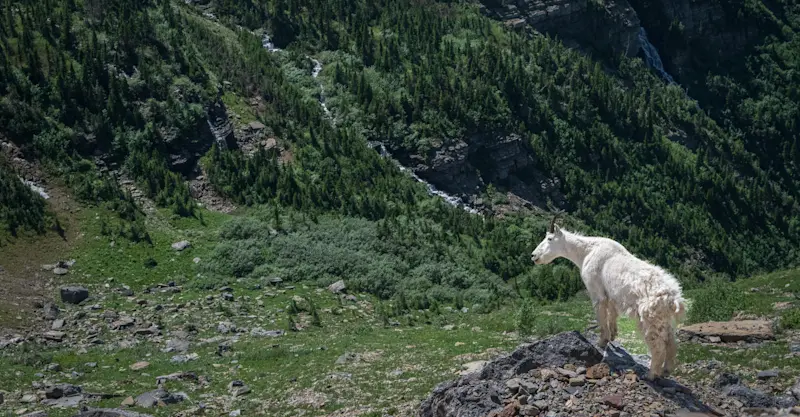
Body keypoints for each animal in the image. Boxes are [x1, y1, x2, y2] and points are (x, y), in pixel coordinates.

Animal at [530, 213, 687, 380]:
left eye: (549, 238)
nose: (534, 256)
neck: (586, 252)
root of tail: (674, 300)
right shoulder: (611, 294)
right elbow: (612, 313)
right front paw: (613, 336)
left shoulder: (596, 291)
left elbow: (601, 315)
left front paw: (602, 341)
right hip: (664, 319)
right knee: (671, 341)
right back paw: (666, 371)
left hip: (649, 318)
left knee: (657, 345)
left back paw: (651, 374)